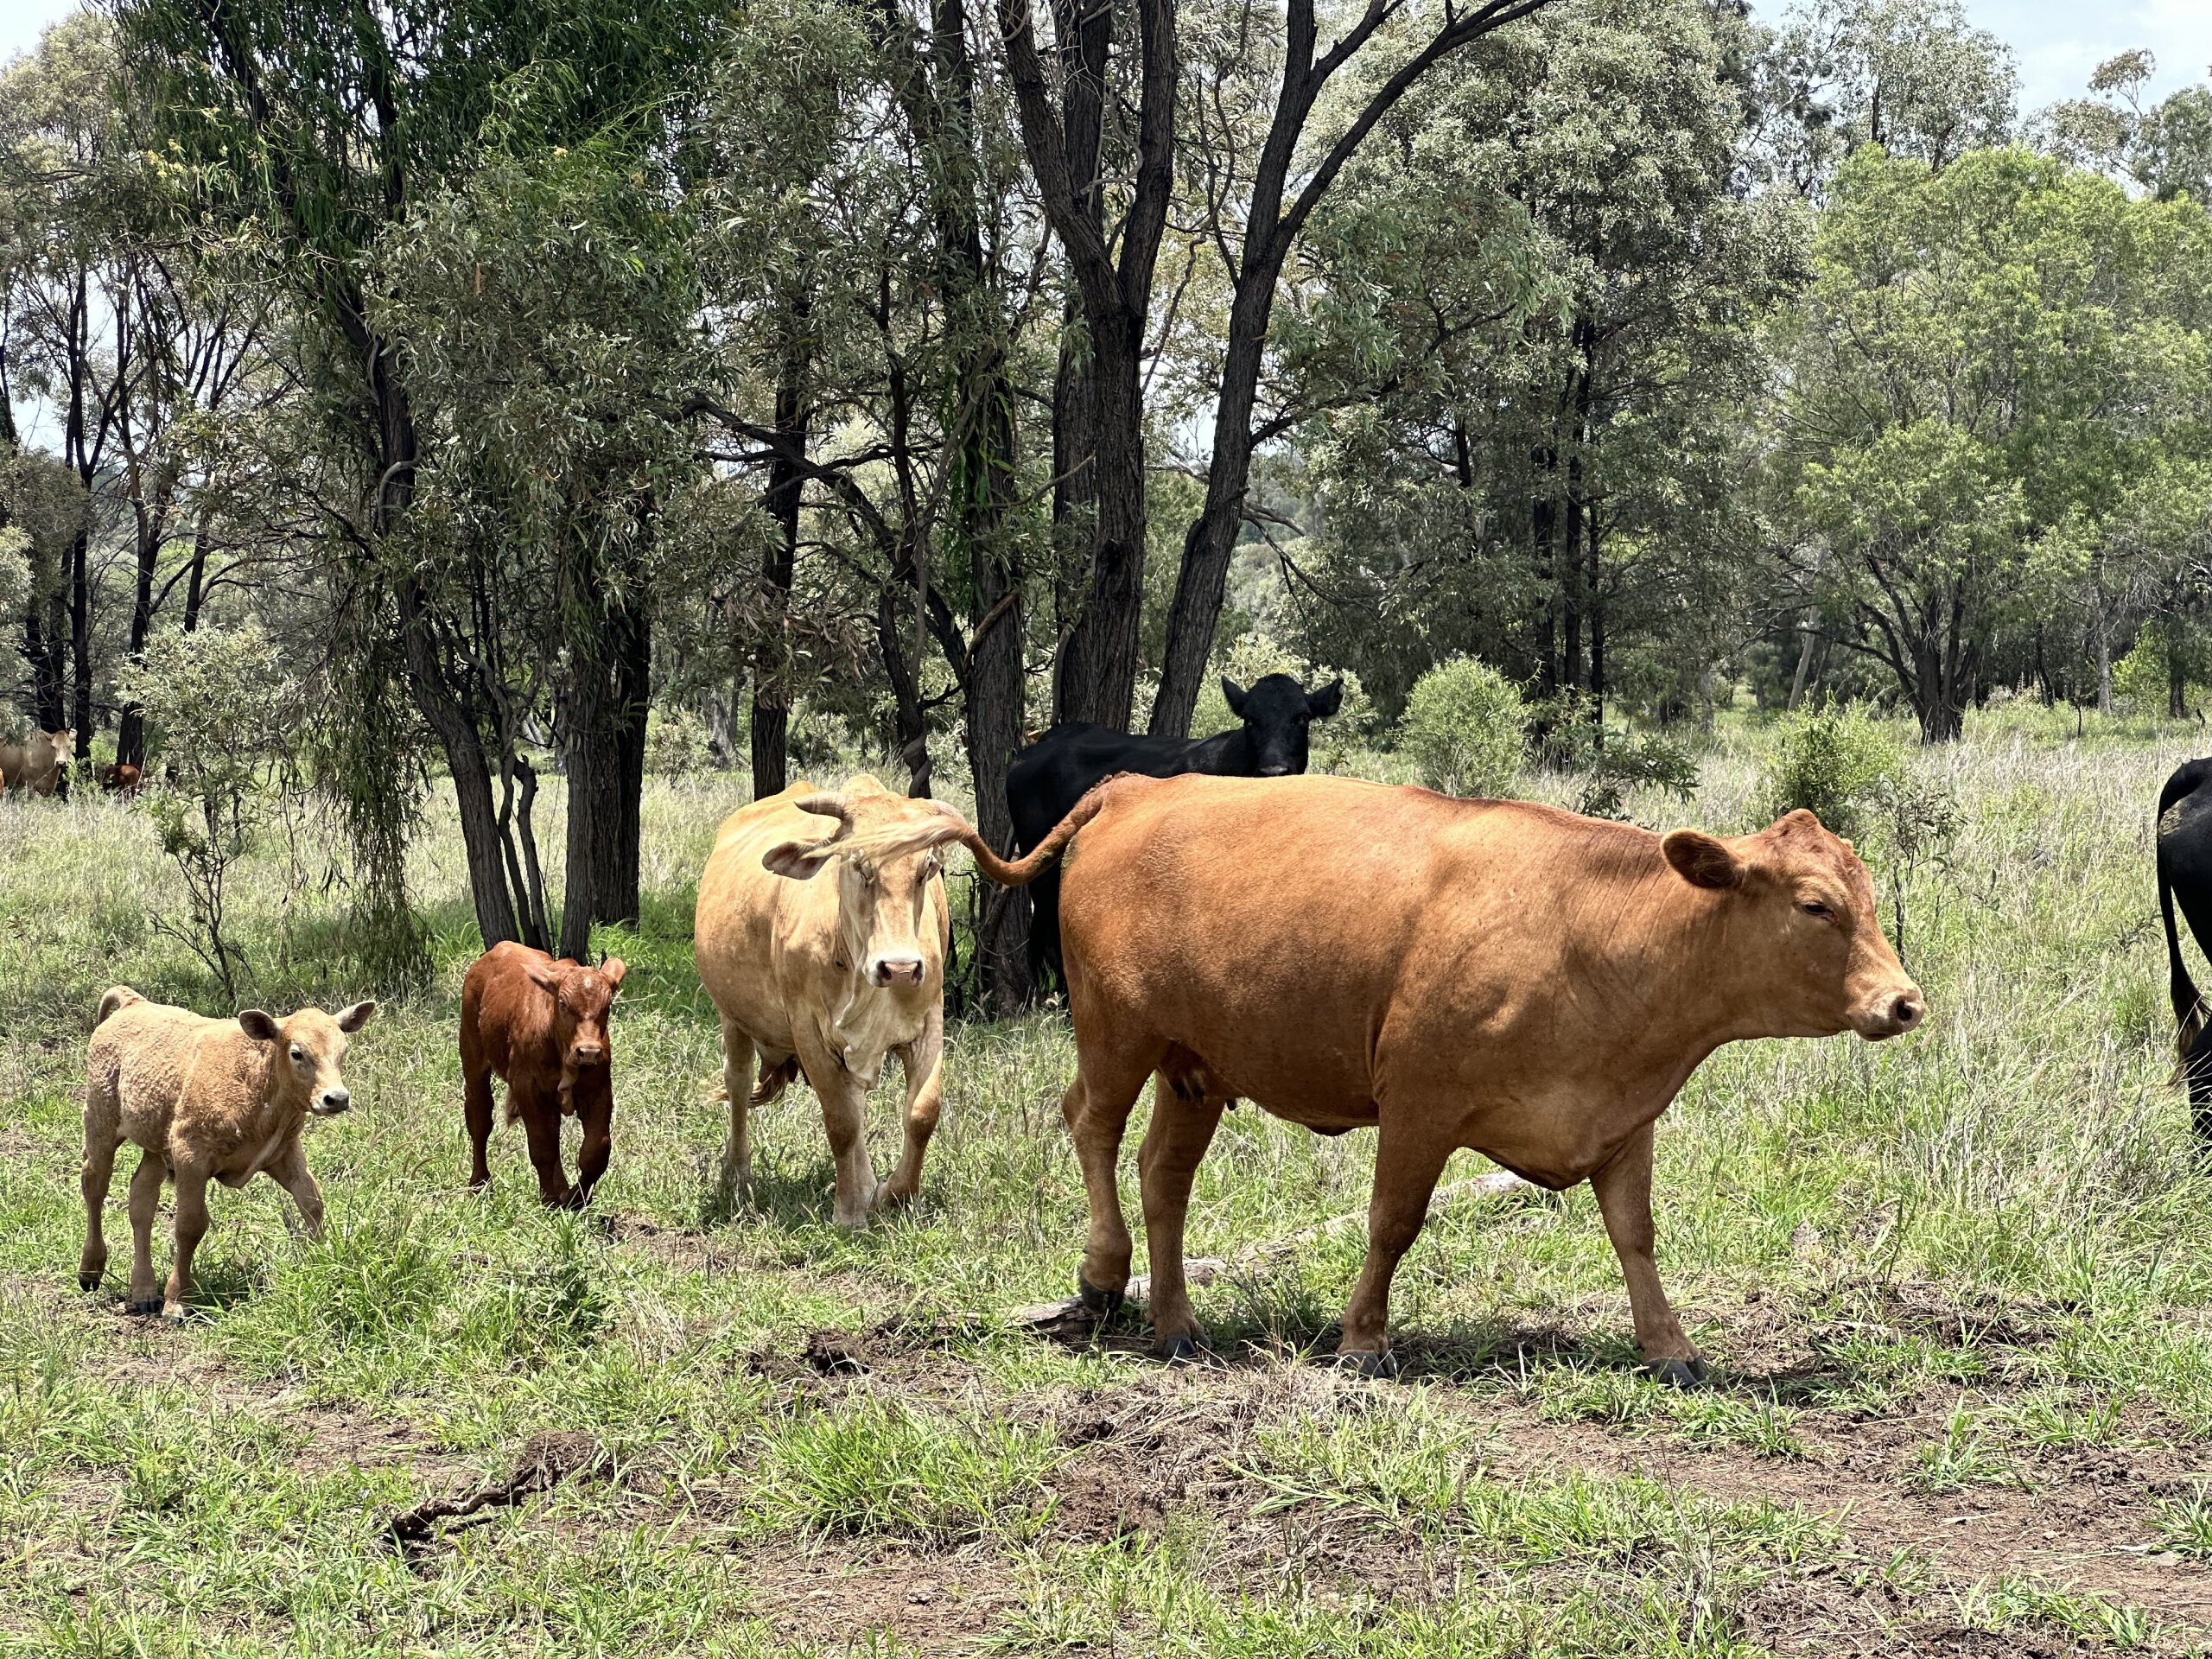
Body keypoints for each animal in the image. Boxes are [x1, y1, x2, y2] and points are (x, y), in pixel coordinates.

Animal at [80, 987, 376, 1319]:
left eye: (342, 1051)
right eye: (297, 1053)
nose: (336, 1098)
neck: (256, 1081)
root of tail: (133, 1002)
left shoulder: (284, 1153)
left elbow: (311, 1202)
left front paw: (321, 1258)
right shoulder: (190, 1155)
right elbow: (190, 1224)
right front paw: (177, 1300)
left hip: (154, 1148)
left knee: (141, 1200)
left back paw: (143, 1292)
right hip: (101, 1126)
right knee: (94, 1186)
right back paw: (90, 1270)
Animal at [460, 943, 627, 1209]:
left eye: (607, 1006)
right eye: (563, 1004)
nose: (588, 1051)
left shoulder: (598, 1089)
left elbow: (596, 1151)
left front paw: (575, 1198)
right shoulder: (527, 1087)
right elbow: (542, 1146)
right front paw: (549, 1198)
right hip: (472, 1058)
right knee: (479, 1119)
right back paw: (479, 1184)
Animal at [694, 775, 1078, 1225]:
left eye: (927, 868)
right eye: (859, 864)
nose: (899, 968)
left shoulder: (929, 1023)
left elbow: (921, 1112)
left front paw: (895, 1195)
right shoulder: (809, 1033)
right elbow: (841, 1121)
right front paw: (850, 1208)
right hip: (733, 1018)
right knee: (737, 1085)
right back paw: (737, 1172)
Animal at [1040, 774, 1925, 1382]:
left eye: (1868, 892)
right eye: (1816, 905)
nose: (1904, 1001)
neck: (1591, 936)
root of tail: (1143, 785)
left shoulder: (1623, 1118)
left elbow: (1635, 1236)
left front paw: (1669, 1347)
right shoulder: (1418, 1105)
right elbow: (1392, 1222)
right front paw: (1362, 1341)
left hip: (1193, 1068)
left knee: (1164, 1176)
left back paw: (1177, 1327)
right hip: (1116, 1037)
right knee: (1091, 1123)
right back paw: (1102, 1273)